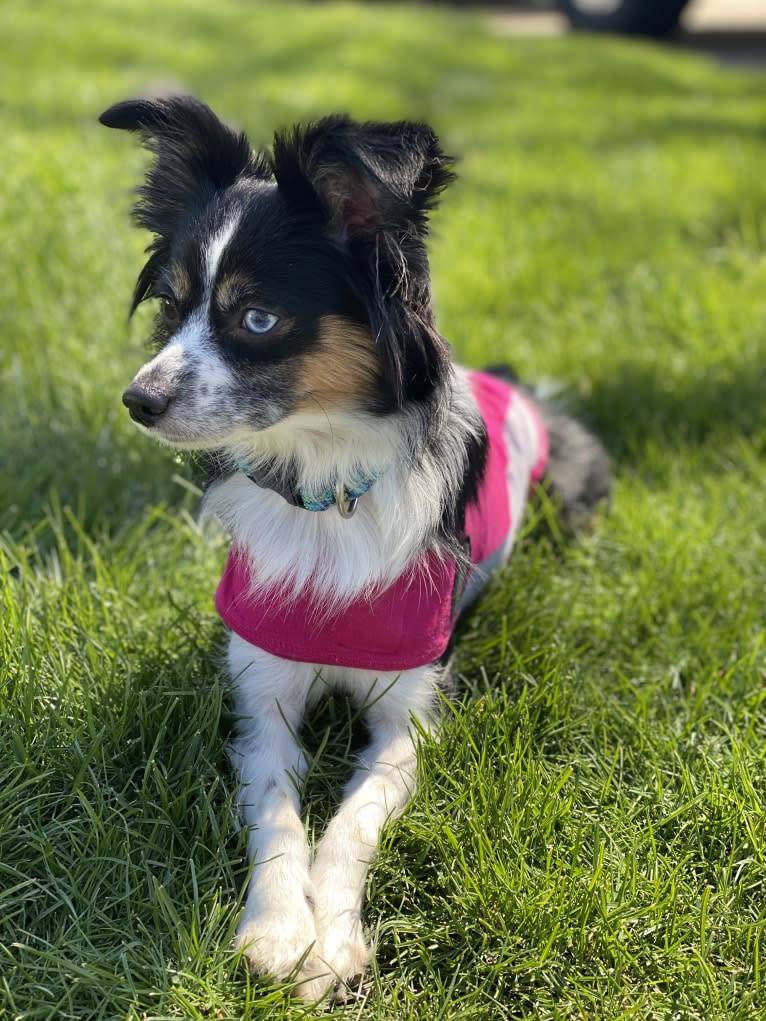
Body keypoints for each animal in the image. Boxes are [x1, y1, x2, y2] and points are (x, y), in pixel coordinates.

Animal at [100, 97, 612, 1004]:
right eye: (175, 306)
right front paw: (278, 931)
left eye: (256, 318)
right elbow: (278, 808)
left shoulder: (409, 715)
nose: (138, 399)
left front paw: (333, 942)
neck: (324, 480)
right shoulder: (262, 694)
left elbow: (350, 819)